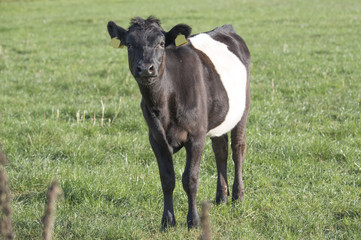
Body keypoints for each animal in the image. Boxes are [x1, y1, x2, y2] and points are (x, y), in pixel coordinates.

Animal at [105, 16, 249, 229]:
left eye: (161, 43)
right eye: (130, 44)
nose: (145, 68)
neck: (164, 104)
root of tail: (226, 28)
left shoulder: (196, 136)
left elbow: (190, 179)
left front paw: (193, 221)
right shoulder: (156, 138)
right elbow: (167, 179)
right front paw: (167, 221)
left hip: (242, 110)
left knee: (237, 149)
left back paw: (238, 196)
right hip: (219, 118)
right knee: (220, 151)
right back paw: (221, 197)